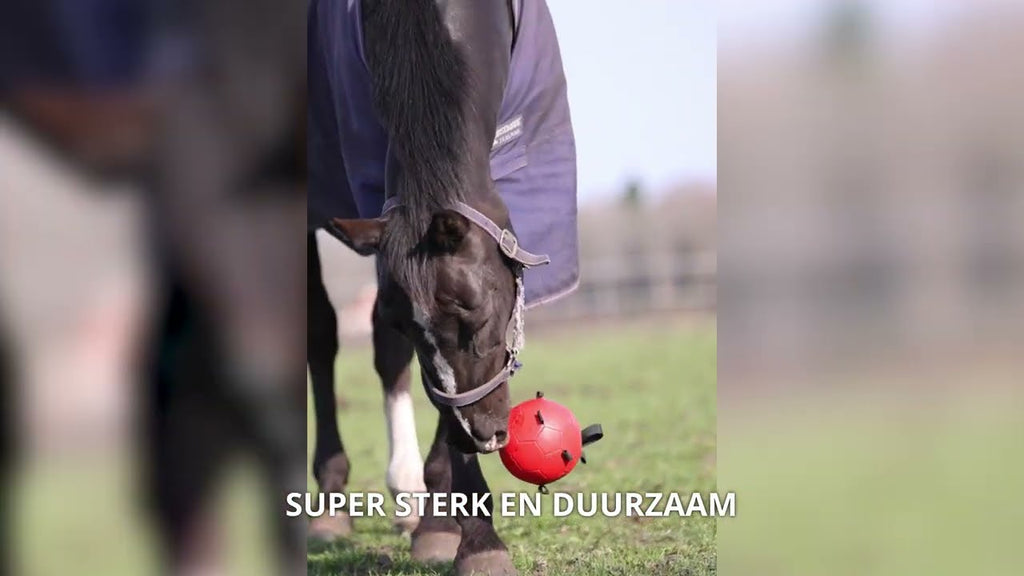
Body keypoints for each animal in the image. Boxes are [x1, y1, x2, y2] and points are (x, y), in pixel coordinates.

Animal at [308, 0, 578, 574]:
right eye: (415, 328)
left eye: (477, 313)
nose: (482, 434)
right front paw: (478, 542)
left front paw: (439, 523)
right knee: (319, 334)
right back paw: (332, 503)